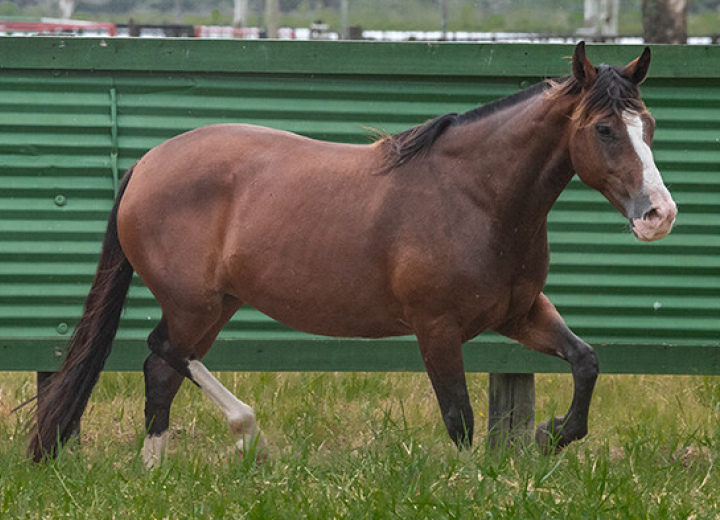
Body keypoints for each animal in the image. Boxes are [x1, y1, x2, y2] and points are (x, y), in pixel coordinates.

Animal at [29, 40, 676, 464]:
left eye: (647, 125)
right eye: (604, 129)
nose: (658, 215)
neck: (476, 196)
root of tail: (147, 163)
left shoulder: (520, 314)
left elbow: (586, 362)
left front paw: (551, 433)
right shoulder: (436, 329)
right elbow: (460, 420)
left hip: (217, 306)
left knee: (161, 371)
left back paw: (155, 473)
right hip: (194, 304)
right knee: (165, 352)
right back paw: (247, 433)